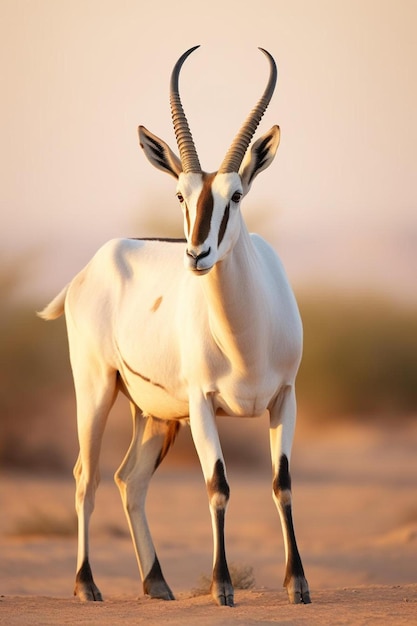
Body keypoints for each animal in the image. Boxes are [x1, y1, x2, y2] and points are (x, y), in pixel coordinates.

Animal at [39, 45, 310, 604]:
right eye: (181, 196)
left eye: (236, 195)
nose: (197, 255)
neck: (246, 343)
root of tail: (90, 267)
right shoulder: (203, 404)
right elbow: (218, 485)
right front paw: (222, 587)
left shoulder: (284, 399)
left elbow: (282, 483)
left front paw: (299, 584)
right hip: (96, 389)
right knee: (85, 476)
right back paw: (88, 585)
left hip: (156, 415)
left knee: (130, 479)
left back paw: (157, 583)